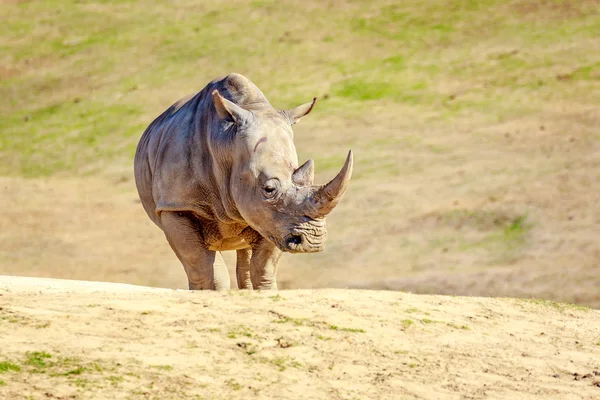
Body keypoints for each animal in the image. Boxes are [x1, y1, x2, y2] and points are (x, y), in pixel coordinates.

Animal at [134, 72, 354, 290]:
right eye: (269, 189)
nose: (314, 241)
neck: (226, 143)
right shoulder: (175, 205)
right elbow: (204, 269)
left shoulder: (272, 219)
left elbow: (263, 267)